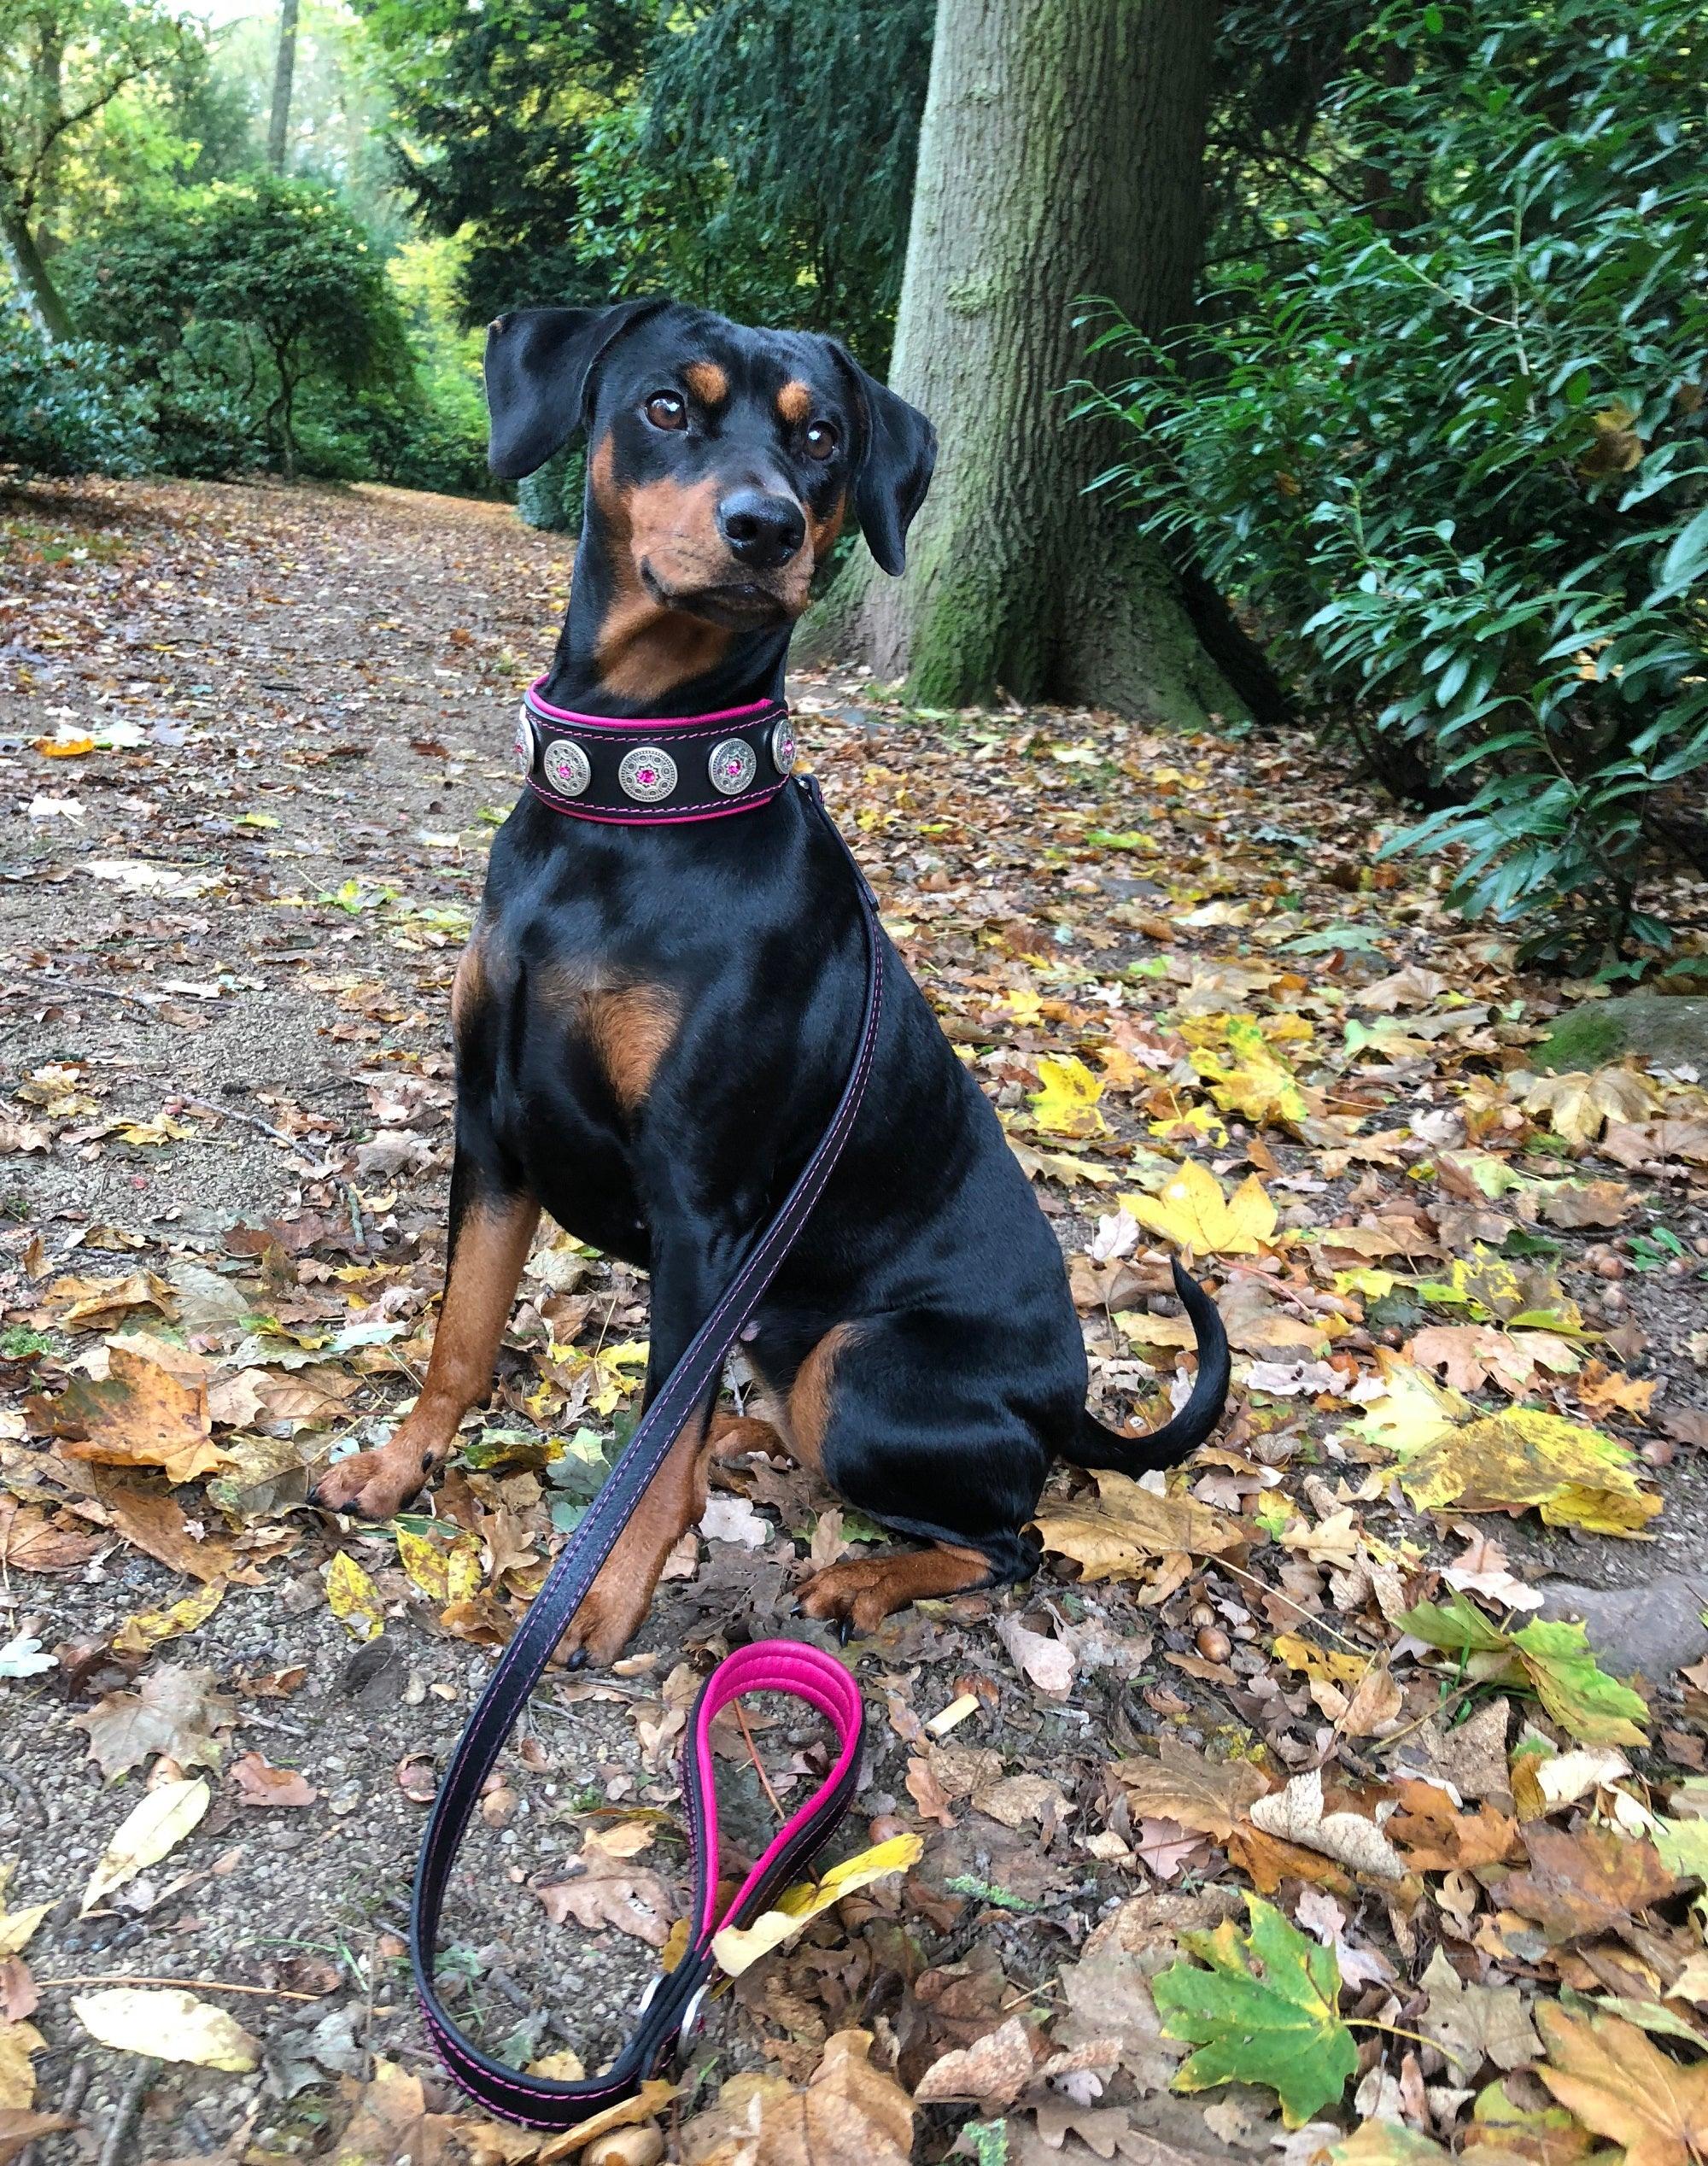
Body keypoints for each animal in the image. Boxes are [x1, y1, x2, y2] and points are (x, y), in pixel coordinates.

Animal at [316, 301, 1229, 1654]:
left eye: (823, 438)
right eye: (666, 406)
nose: (767, 527)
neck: (632, 813)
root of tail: (1066, 1413)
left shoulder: (705, 1208)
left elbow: (650, 1441)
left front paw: (609, 1595)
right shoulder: (492, 1129)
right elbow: (462, 1335)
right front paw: (400, 1464)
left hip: (860, 1359)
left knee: (1007, 1540)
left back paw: (858, 1577)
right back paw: (746, 1438)